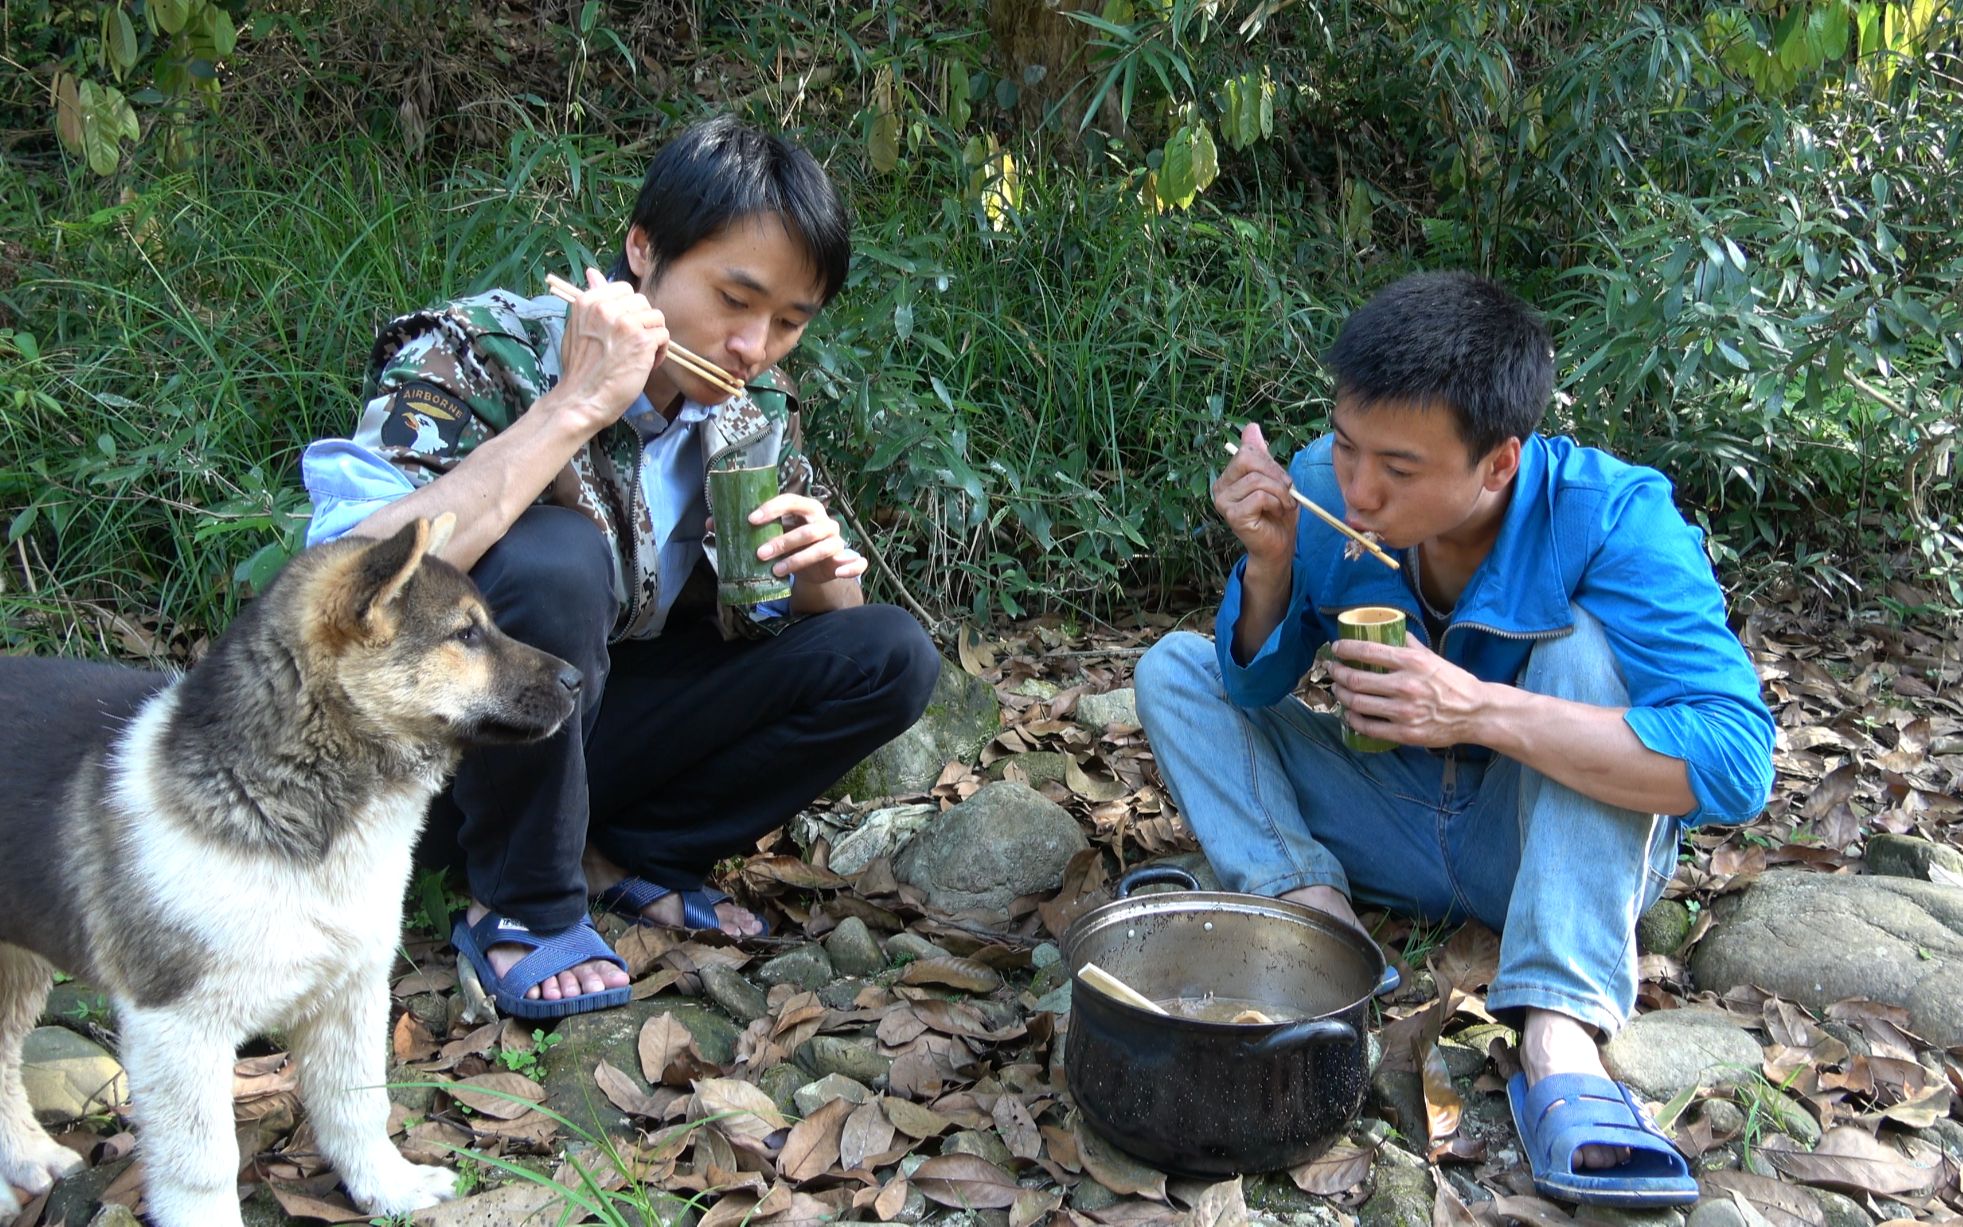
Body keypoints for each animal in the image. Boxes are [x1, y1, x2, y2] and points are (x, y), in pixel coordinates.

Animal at [0, 514, 577, 1225]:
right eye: (466, 634)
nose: (578, 680)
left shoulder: (351, 992)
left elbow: (358, 1105)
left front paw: (390, 1186)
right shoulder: (176, 1025)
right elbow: (202, 1165)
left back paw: (30, 1157)